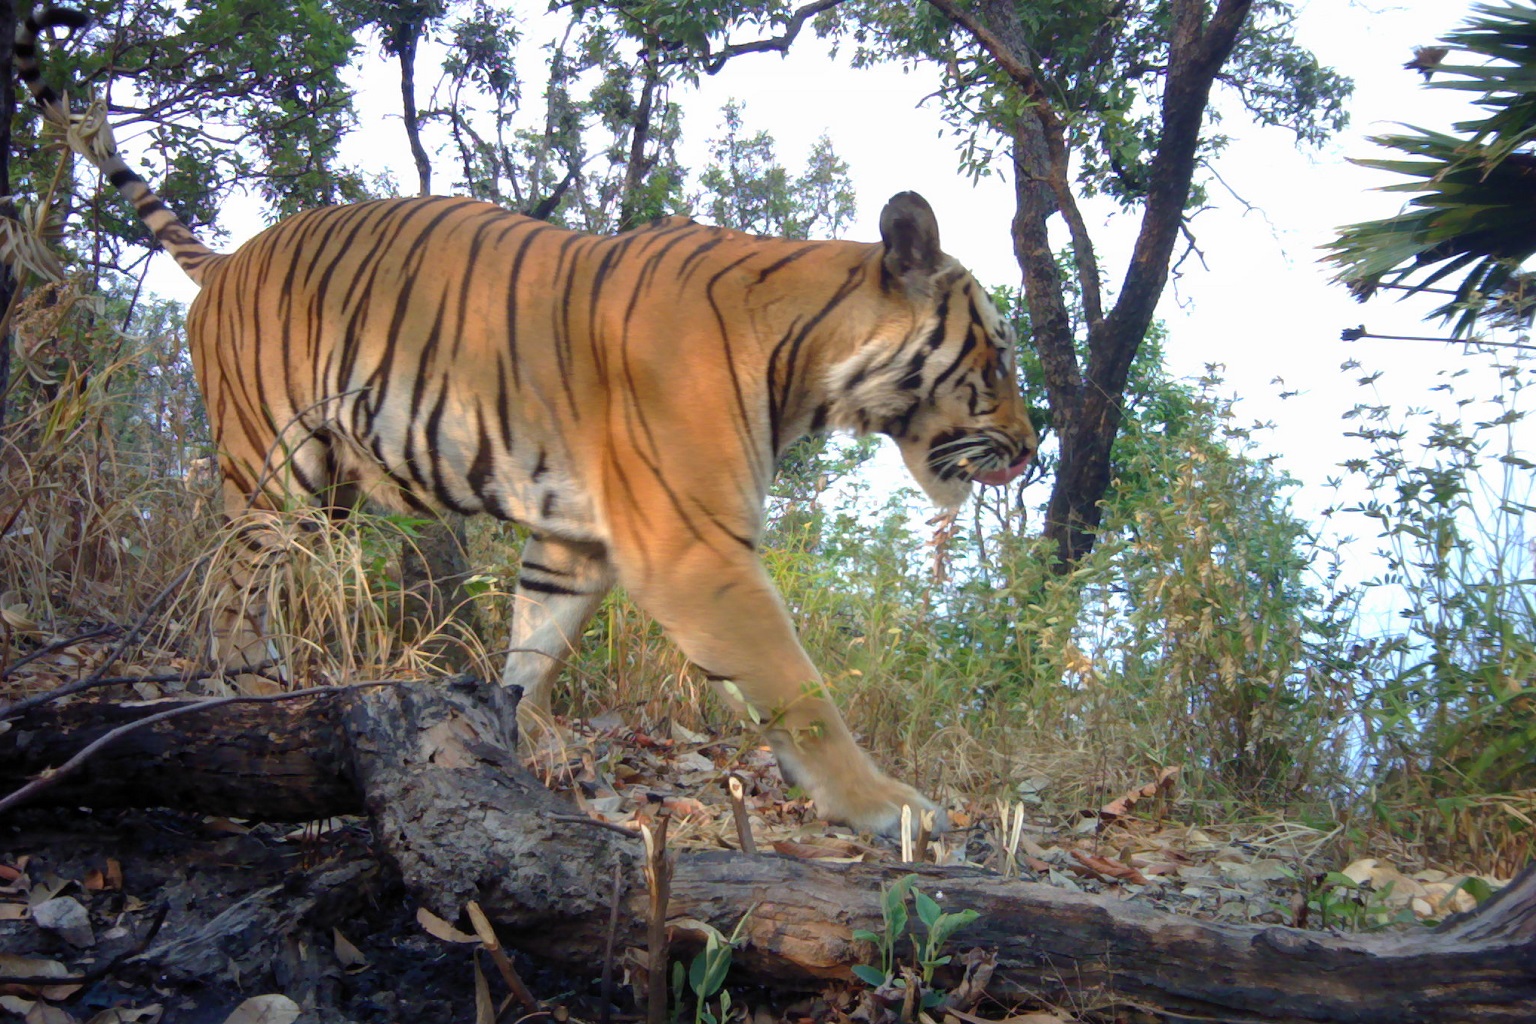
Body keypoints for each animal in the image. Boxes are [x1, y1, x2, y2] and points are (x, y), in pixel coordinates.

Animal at [17, 4, 1038, 836]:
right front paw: (888, 809)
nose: (1031, 452)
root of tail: (228, 258)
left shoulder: (573, 542)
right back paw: (247, 689)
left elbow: (534, 648)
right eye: (996, 359)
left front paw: (510, 739)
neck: (804, 356)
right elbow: (800, 689)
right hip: (275, 474)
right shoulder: (697, 552)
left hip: (329, 492)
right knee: (229, 587)